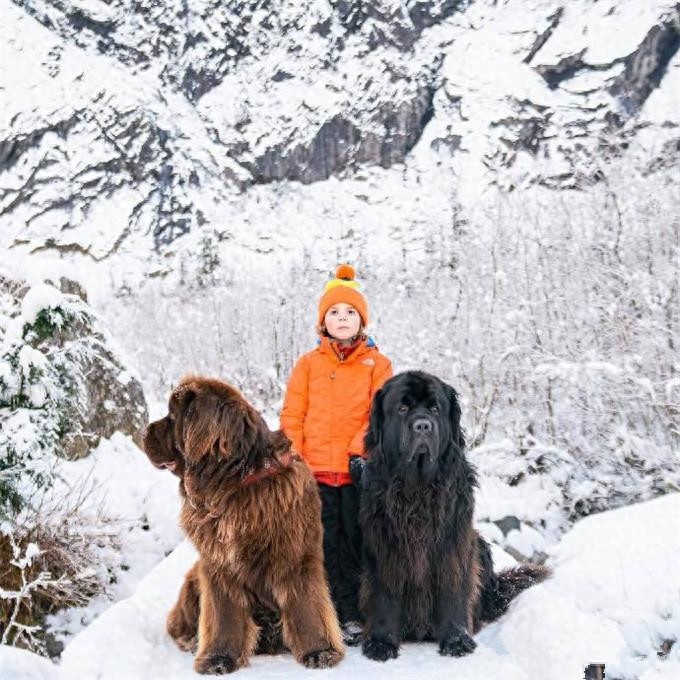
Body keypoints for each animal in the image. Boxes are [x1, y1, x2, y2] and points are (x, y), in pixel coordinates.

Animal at [144, 378, 346, 676]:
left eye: (172, 416)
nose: (143, 431)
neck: (235, 485)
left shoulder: (297, 557)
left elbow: (307, 606)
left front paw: (319, 652)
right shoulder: (218, 565)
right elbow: (222, 615)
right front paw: (217, 659)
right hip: (193, 579)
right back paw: (192, 641)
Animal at [358, 370, 548, 660]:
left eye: (435, 408)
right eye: (402, 409)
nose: (423, 426)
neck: (418, 490)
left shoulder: (452, 544)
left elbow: (452, 590)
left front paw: (456, 639)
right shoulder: (385, 546)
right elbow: (385, 594)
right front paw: (381, 642)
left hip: (479, 544)